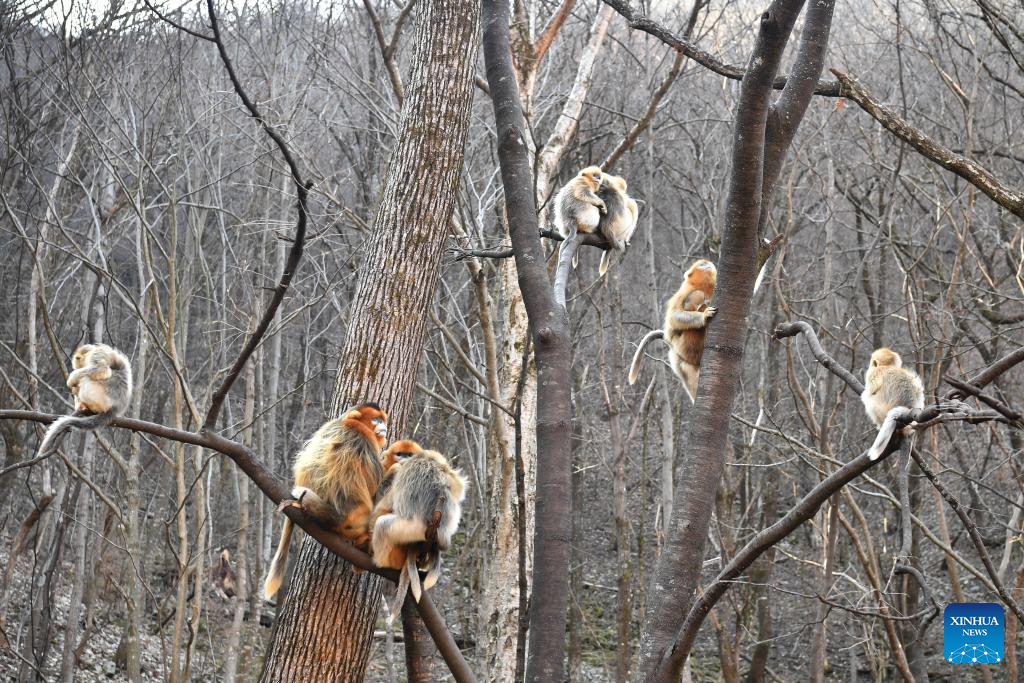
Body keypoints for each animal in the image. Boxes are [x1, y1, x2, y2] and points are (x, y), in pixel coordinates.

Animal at [263, 402, 388, 599]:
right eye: (376, 420)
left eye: (383, 420)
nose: (384, 427)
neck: (350, 424)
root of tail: (336, 516)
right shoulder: (364, 441)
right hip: (354, 522)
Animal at [369, 444, 467, 621]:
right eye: (399, 453)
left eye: (408, 454)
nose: (403, 459)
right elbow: (458, 486)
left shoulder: (402, 470)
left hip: (410, 529)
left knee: (381, 523)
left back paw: (380, 561)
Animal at [628, 259, 717, 403]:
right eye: (701, 264)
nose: (706, 262)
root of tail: (671, 345)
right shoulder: (684, 293)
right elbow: (674, 317)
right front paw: (704, 315)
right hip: (683, 347)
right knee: (697, 296)